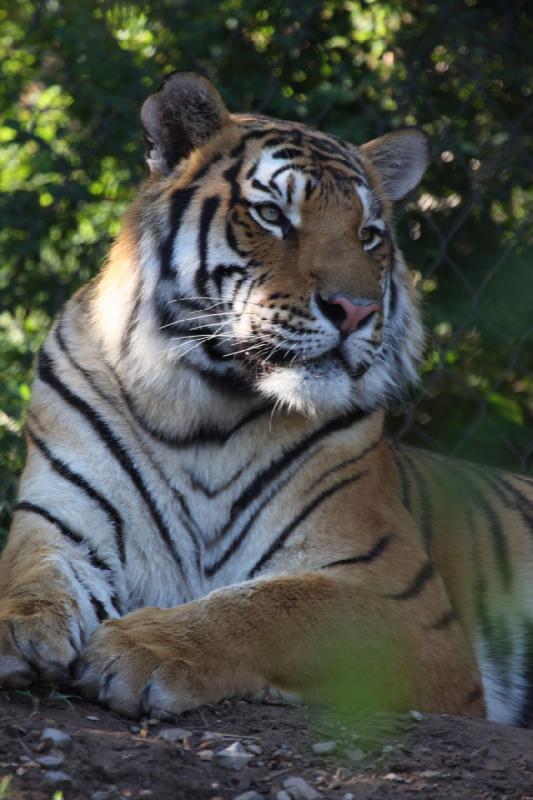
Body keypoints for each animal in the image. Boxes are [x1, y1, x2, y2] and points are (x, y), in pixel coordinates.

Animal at [1, 72, 532, 728]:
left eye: (368, 235)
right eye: (274, 215)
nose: (356, 311)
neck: (201, 409)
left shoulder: (401, 597)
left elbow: (269, 608)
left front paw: (142, 646)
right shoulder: (60, 525)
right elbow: (30, 575)